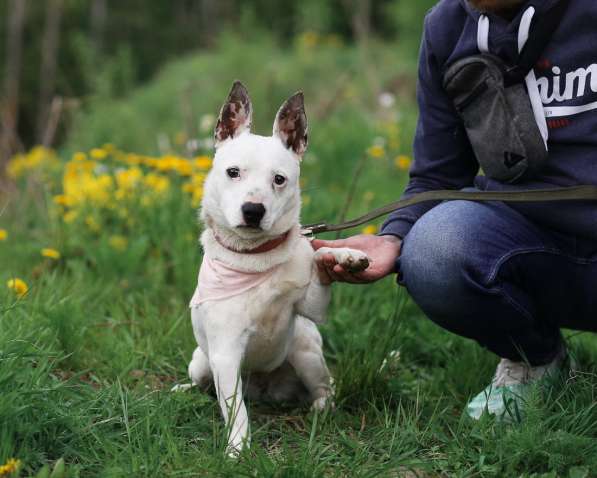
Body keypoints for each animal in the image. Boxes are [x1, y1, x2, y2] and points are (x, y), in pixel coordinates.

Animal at [177, 80, 370, 454]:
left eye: (279, 179)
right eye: (233, 172)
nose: (253, 210)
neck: (254, 258)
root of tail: (264, 389)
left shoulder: (313, 307)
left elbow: (318, 264)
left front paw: (342, 256)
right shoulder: (225, 354)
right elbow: (235, 411)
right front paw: (238, 450)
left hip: (304, 348)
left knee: (325, 387)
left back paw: (321, 407)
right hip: (202, 363)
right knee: (205, 385)